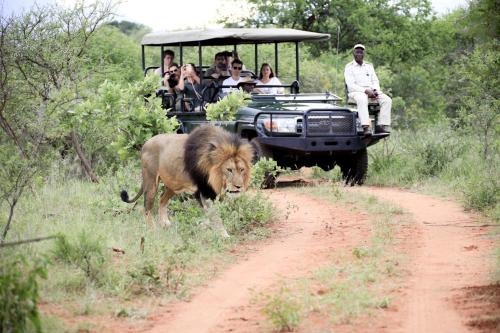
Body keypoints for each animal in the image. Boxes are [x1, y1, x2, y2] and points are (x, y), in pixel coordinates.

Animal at [119, 124, 256, 236]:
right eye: (229, 170)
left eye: (242, 169)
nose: (239, 186)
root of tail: (145, 144)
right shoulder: (204, 190)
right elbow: (214, 215)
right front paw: (223, 235)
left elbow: (212, 214)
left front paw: (204, 225)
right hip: (151, 182)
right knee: (147, 207)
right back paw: (152, 230)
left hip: (173, 185)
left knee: (162, 199)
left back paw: (165, 223)